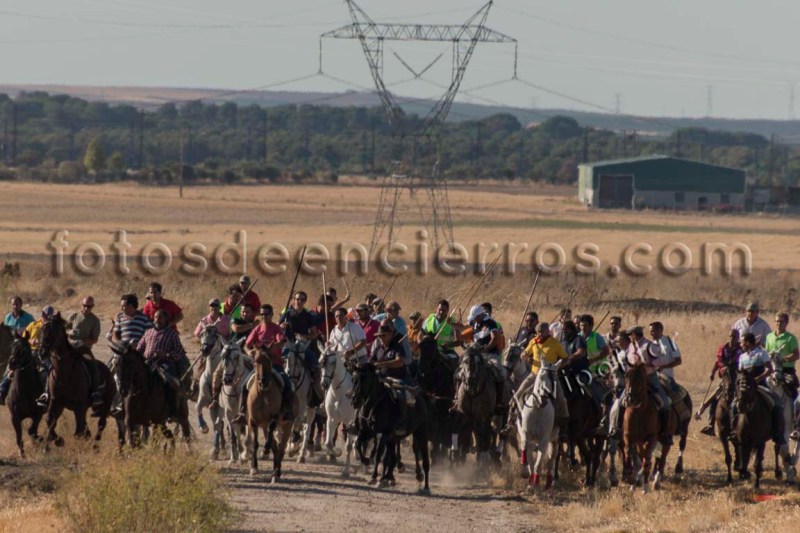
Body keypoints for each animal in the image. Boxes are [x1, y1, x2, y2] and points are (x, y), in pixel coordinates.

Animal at [39, 317, 116, 448]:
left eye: (54, 331)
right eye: (42, 330)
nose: (42, 352)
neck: (64, 373)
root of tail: (109, 371)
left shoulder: (79, 407)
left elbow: (79, 432)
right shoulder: (56, 402)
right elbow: (49, 421)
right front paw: (58, 441)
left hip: (106, 403)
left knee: (100, 425)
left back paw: (95, 446)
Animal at [247, 349, 297, 483]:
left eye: (269, 361)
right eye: (255, 361)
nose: (263, 382)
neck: (263, 393)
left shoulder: (275, 418)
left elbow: (271, 434)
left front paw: (265, 450)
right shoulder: (252, 421)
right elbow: (255, 444)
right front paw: (254, 468)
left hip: (287, 426)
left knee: (281, 448)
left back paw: (276, 472)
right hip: (264, 426)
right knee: (275, 447)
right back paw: (274, 470)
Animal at [320, 345, 356, 477]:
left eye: (332, 362)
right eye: (321, 362)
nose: (324, 383)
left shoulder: (349, 422)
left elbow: (348, 446)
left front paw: (346, 470)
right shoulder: (332, 419)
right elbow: (328, 443)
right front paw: (336, 452)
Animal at [351, 362, 430, 493]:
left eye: (364, 379)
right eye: (353, 379)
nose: (354, 401)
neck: (375, 405)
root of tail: (421, 397)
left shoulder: (384, 434)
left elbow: (378, 455)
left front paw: (374, 477)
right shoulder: (365, 432)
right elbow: (357, 444)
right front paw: (366, 461)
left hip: (421, 432)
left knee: (422, 457)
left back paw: (425, 486)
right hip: (394, 439)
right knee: (393, 458)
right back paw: (390, 477)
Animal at [515, 364, 558, 493]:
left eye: (555, 380)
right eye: (541, 377)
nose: (544, 398)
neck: (538, 409)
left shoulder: (544, 440)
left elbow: (538, 464)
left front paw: (537, 485)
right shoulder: (525, 434)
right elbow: (526, 453)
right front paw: (527, 476)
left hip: (555, 440)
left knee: (551, 459)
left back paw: (548, 485)